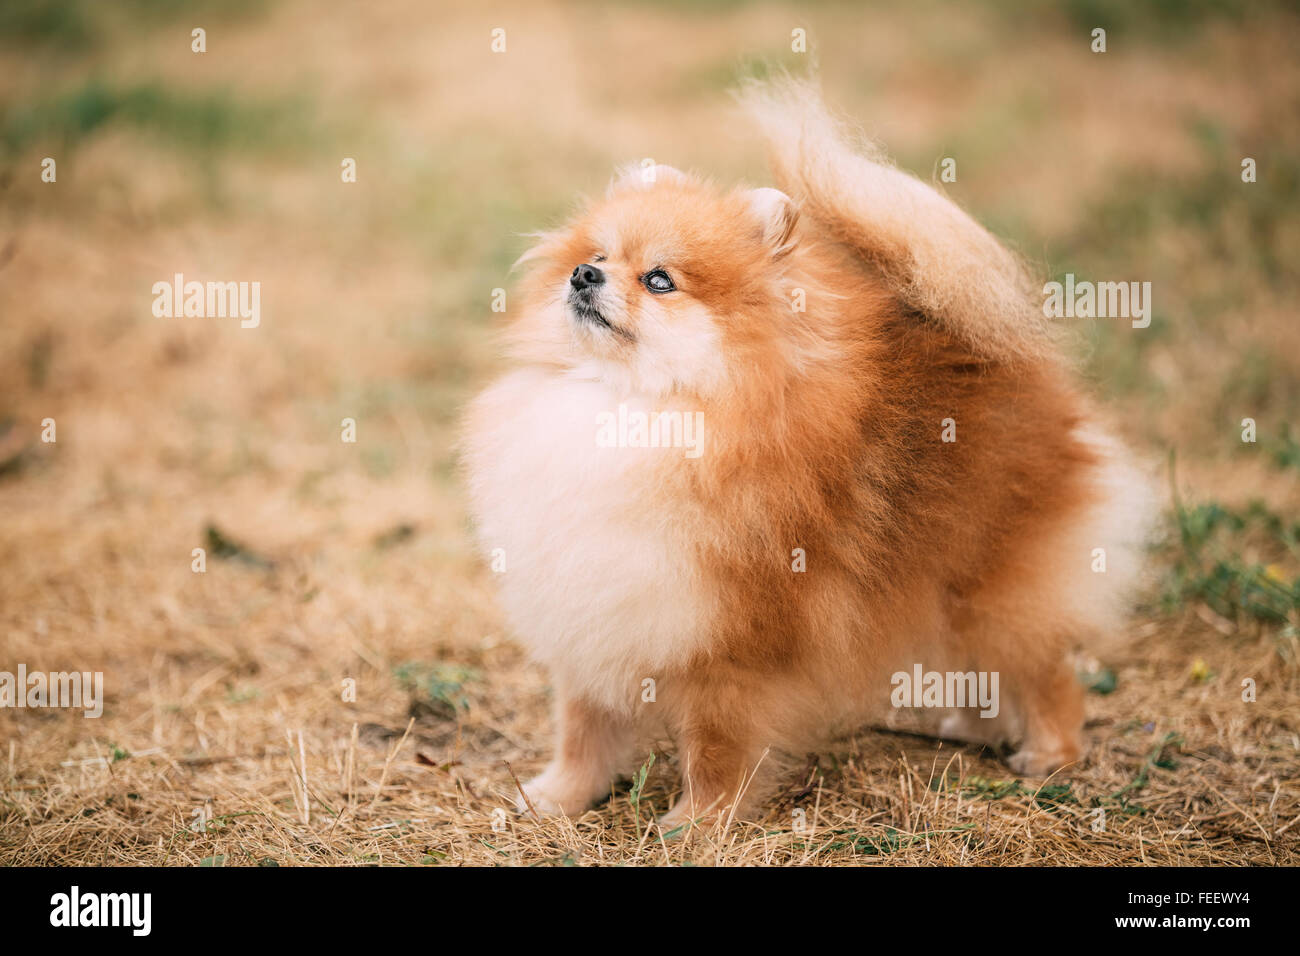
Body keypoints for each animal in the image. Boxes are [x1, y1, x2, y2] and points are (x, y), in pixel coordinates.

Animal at [462, 78, 1154, 827]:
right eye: (594, 255)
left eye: (660, 280)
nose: (585, 276)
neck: (633, 409)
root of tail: (1001, 356)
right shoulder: (592, 609)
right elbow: (582, 726)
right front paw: (555, 796)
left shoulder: (733, 643)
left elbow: (716, 746)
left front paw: (697, 824)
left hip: (990, 582)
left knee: (1042, 667)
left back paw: (1051, 752)